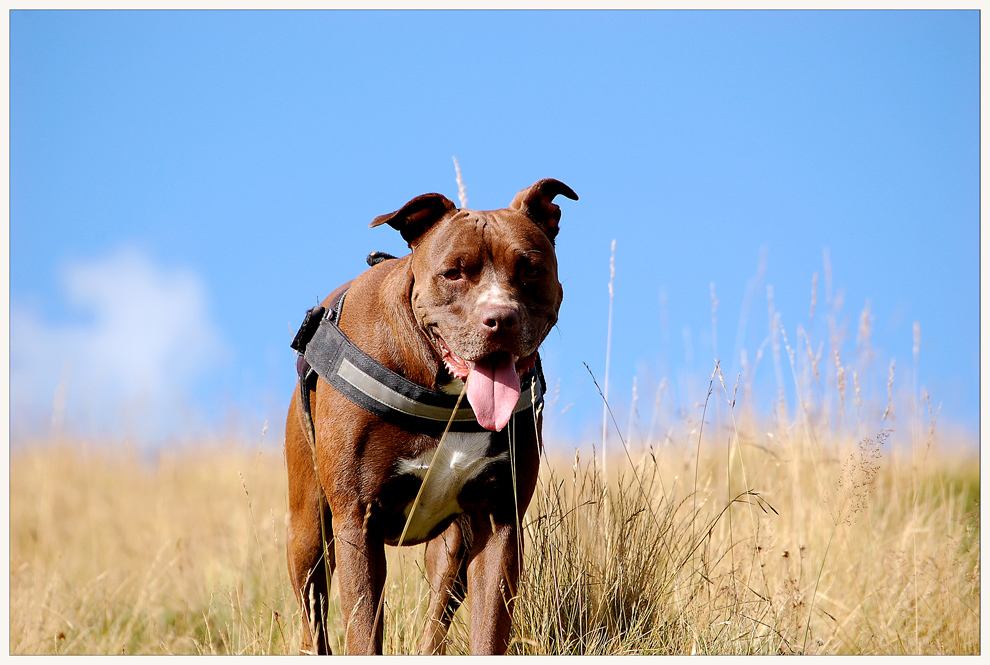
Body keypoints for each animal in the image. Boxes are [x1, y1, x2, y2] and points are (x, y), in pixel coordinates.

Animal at [282, 178, 576, 652]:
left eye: (530, 269)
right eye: (453, 273)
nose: (500, 319)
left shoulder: (499, 520)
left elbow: (489, 627)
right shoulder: (357, 520)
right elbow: (363, 628)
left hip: (453, 545)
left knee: (439, 608)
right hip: (308, 531)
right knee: (314, 614)